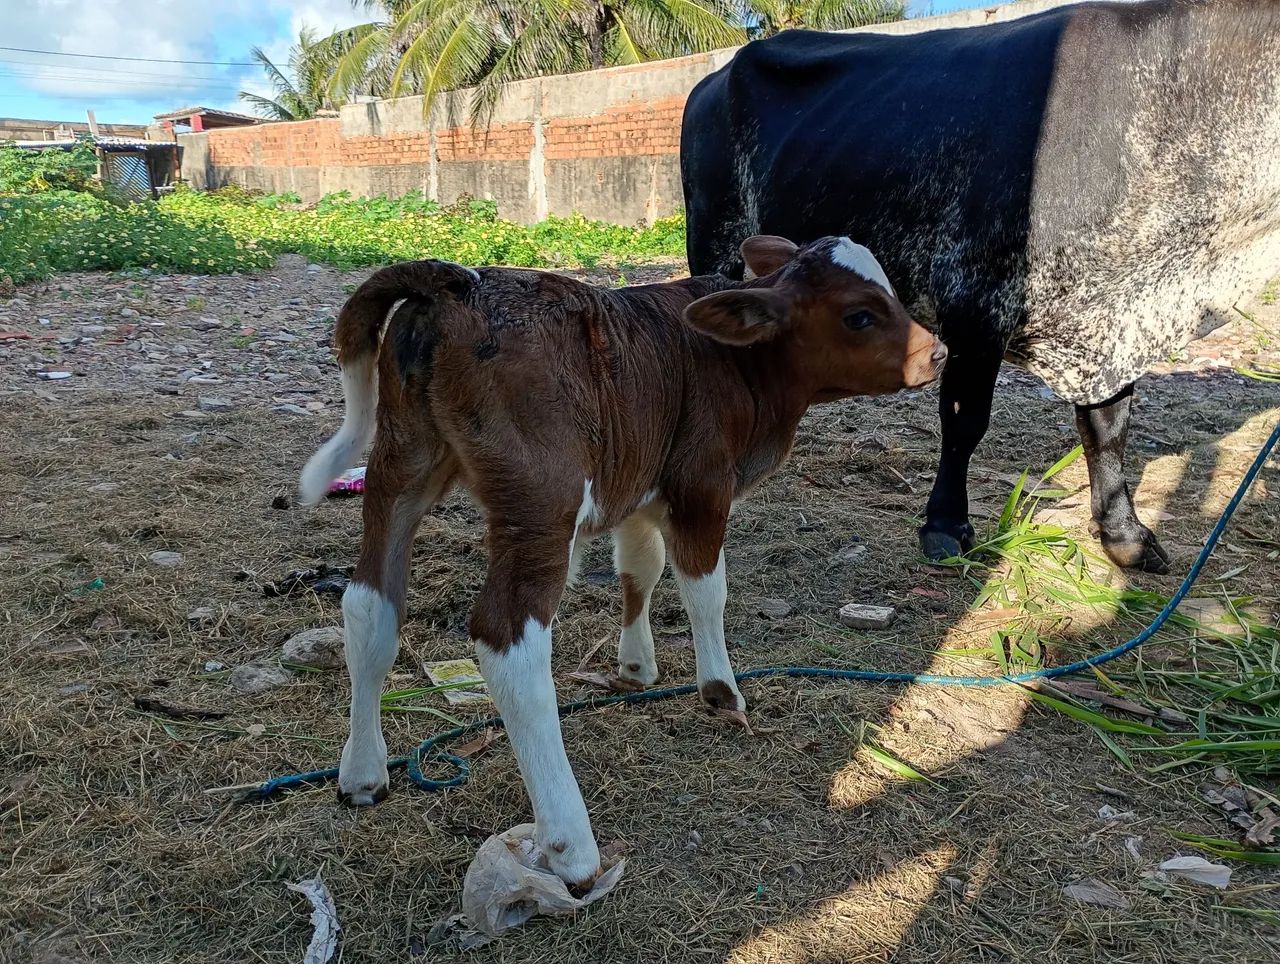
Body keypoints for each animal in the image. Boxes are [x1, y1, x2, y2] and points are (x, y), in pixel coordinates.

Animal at [298, 236, 947, 886]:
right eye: (859, 315)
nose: (938, 353)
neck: (738, 365)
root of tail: (451, 284)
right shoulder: (701, 486)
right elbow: (705, 589)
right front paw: (721, 691)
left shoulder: (639, 483)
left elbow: (641, 567)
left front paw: (636, 667)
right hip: (541, 499)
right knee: (508, 640)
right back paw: (571, 843)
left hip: (400, 463)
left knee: (370, 606)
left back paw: (362, 773)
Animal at [681, 0, 1280, 573]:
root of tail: (714, 78)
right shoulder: (975, 306)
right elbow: (965, 421)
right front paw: (945, 525)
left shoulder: (1113, 323)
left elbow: (1108, 429)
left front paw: (1124, 536)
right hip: (715, 238)